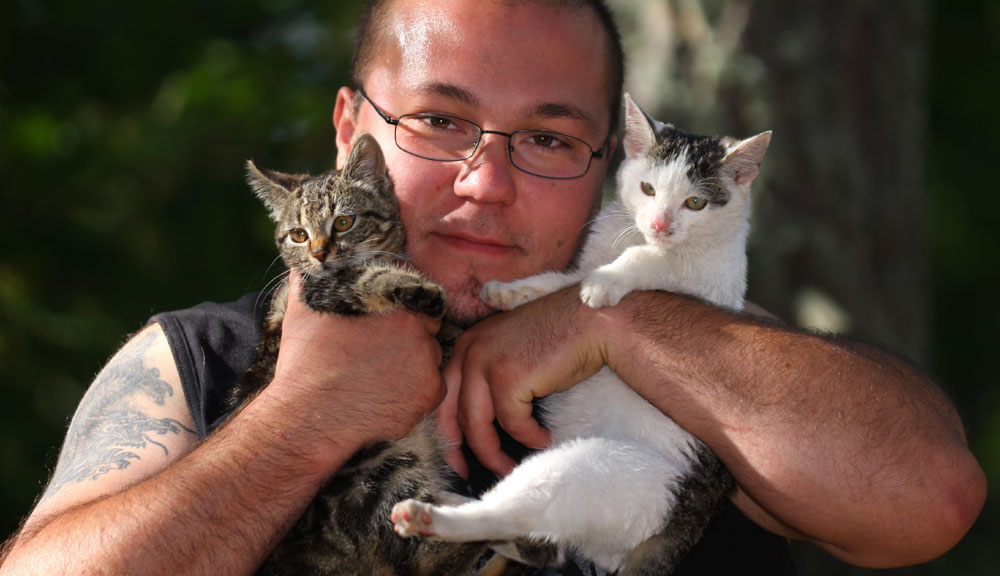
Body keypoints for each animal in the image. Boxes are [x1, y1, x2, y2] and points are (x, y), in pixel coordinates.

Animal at [233, 132, 504, 576]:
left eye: (343, 222)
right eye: (298, 235)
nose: (320, 252)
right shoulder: (320, 290)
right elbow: (367, 277)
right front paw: (418, 288)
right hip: (377, 471)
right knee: (426, 556)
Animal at [391, 93, 772, 576]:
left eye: (696, 203)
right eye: (648, 190)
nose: (660, 226)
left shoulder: (707, 282)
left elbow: (650, 261)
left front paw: (605, 282)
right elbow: (565, 280)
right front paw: (515, 291)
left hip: (587, 473)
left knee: (516, 515)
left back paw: (430, 517)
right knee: (537, 541)